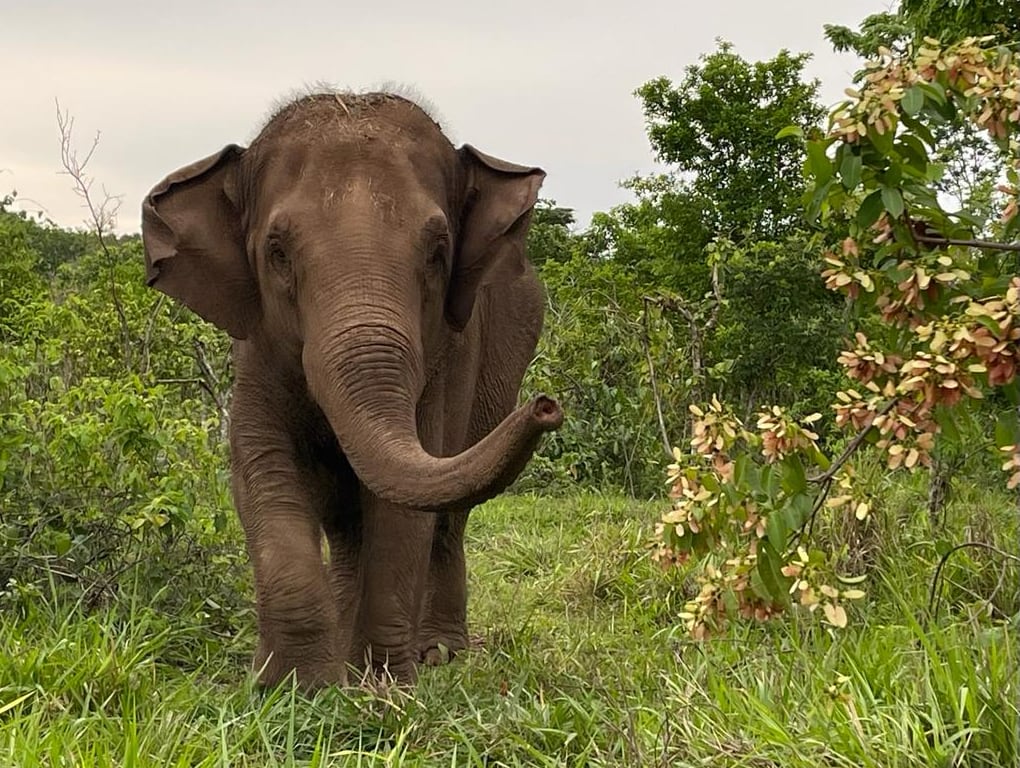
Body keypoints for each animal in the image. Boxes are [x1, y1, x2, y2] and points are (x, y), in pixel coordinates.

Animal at [139, 92, 563, 685]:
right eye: (277, 252)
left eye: (438, 251)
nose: (546, 405)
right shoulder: (256, 350)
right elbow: (263, 466)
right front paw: (293, 687)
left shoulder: (449, 357)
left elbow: (408, 501)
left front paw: (383, 687)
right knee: (345, 521)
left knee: (448, 515)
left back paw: (439, 653)